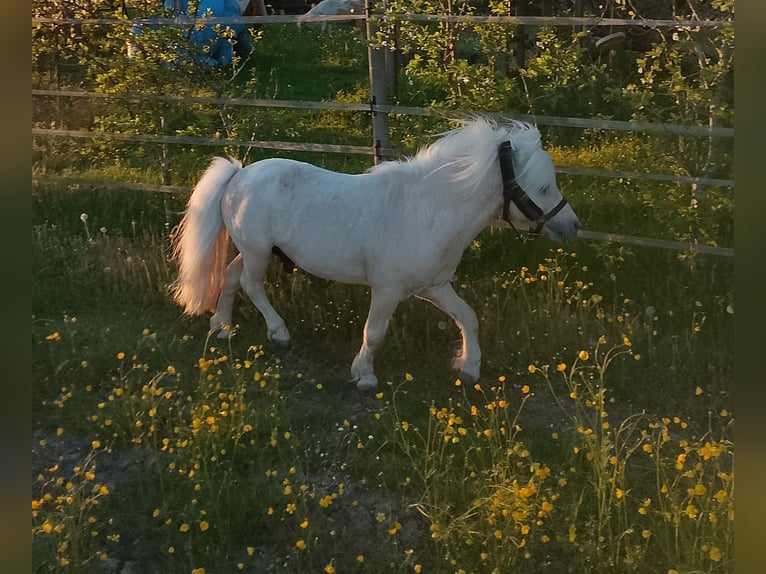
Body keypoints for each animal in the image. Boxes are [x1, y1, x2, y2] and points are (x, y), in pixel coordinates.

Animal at [170, 117, 581, 391]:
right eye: (543, 187)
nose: (572, 226)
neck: (428, 210)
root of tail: (238, 175)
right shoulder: (387, 290)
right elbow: (375, 332)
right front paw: (364, 374)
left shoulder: (434, 286)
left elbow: (469, 317)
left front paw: (469, 368)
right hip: (258, 253)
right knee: (252, 286)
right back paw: (279, 332)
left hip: (255, 250)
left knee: (230, 278)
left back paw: (222, 326)